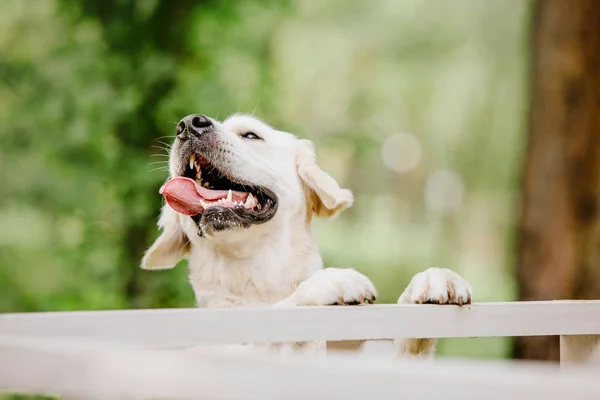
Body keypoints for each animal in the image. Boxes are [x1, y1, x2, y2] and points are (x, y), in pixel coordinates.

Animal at [142, 113, 474, 360]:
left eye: (250, 135)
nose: (188, 125)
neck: (253, 278)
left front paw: (435, 279)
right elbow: (282, 315)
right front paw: (334, 281)